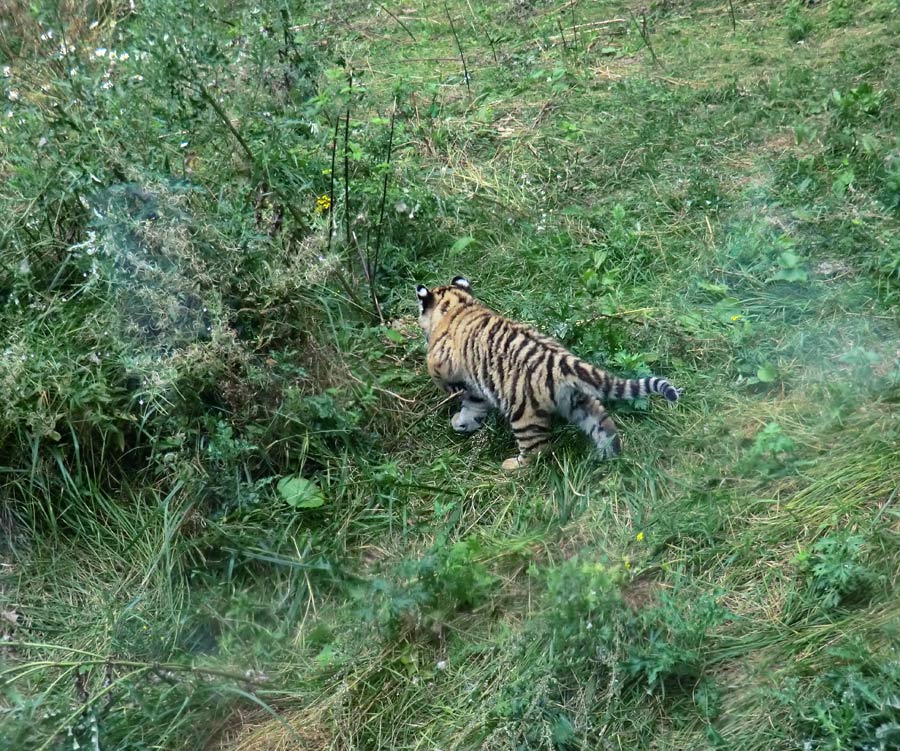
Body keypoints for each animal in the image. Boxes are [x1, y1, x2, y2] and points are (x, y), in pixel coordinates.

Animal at [416, 280, 684, 470]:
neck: (459, 304)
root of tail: (563, 362)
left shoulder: (441, 359)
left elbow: (438, 375)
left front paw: (451, 394)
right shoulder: (476, 388)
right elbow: (473, 405)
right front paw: (461, 422)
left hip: (524, 415)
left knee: (539, 450)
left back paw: (513, 466)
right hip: (579, 401)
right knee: (605, 427)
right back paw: (607, 458)